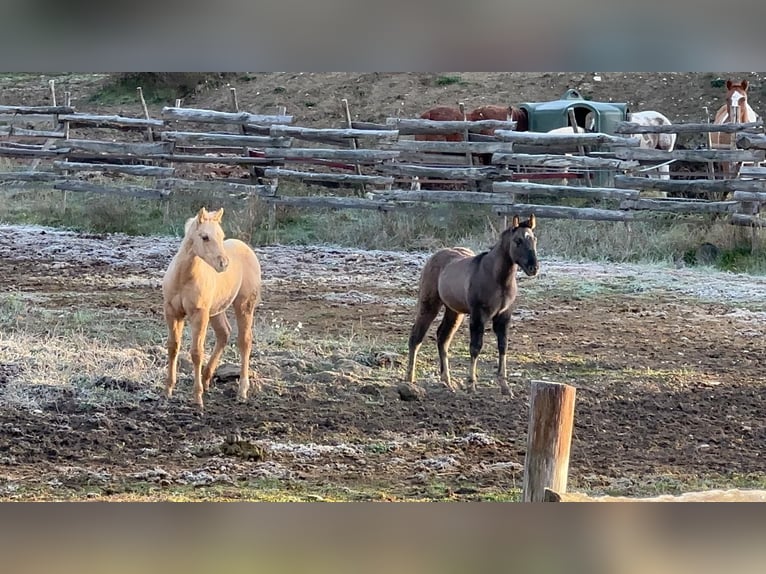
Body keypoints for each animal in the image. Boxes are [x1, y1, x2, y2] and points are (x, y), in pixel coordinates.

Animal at [162, 207, 262, 408]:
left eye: (222, 235)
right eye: (205, 237)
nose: (224, 263)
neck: (183, 277)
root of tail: (246, 247)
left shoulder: (199, 315)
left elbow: (196, 352)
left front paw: (197, 397)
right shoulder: (172, 312)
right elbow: (173, 347)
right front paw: (168, 390)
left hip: (244, 305)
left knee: (245, 341)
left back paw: (242, 391)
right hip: (217, 310)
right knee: (224, 333)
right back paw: (206, 378)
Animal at [405, 214, 539, 396]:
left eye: (534, 239)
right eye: (517, 241)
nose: (534, 267)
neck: (498, 279)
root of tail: (435, 256)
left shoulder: (503, 316)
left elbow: (503, 346)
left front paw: (505, 387)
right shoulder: (478, 315)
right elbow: (475, 347)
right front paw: (471, 385)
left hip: (454, 311)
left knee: (443, 338)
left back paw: (447, 382)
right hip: (429, 305)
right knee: (416, 336)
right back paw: (410, 380)